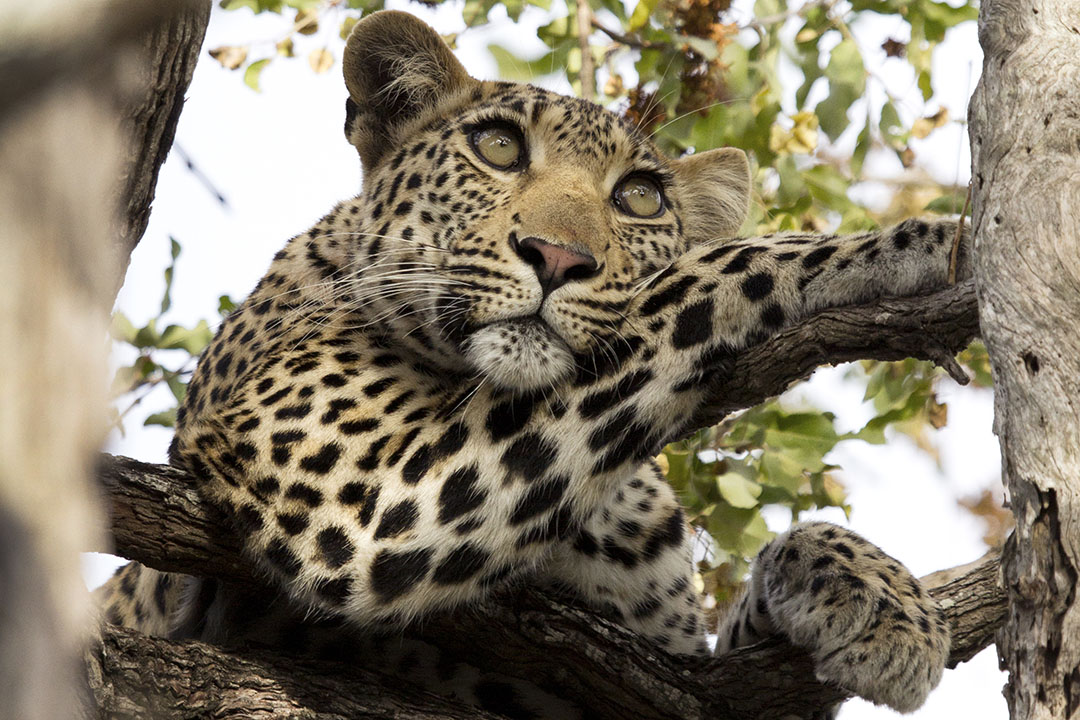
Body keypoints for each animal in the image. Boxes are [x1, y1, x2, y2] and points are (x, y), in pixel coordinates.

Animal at [99, 11, 963, 720]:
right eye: (499, 148)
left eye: (640, 198)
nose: (557, 257)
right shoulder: (359, 498)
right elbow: (695, 280)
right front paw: (894, 245)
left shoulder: (671, 682)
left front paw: (882, 600)